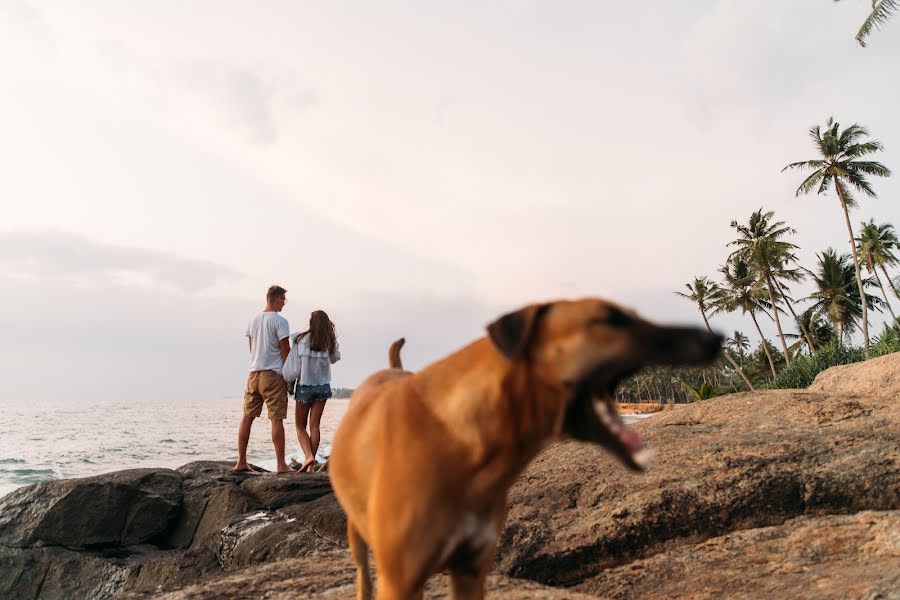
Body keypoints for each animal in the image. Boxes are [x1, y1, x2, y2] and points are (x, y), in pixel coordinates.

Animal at [326, 300, 720, 600]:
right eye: (610, 319)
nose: (714, 338)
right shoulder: (401, 581)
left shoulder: (471, 570)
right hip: (358, 535)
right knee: (362, 572)